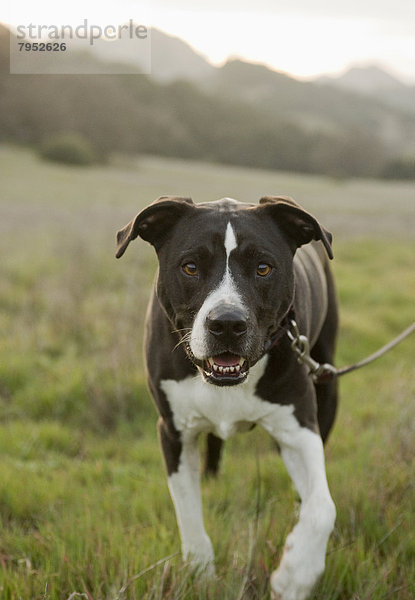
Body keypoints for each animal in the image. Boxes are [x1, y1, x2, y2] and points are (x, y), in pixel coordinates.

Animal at [116, 197, 338, 600]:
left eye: (263, 268)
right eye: (190, 267)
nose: (228, 324)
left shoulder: (299, 429)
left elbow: (322, 507)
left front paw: (294, 574)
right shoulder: (173, 432)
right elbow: (188, 512)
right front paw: (201, 574)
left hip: (328, 382)